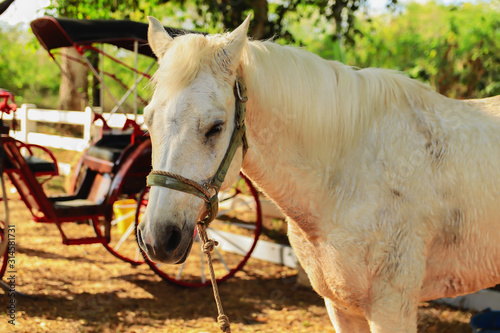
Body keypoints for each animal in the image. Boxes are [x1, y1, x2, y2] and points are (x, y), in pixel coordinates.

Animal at [137, 15, 500, 332]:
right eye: (148, 119)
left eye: (215, 127)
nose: (158, 238)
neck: (348, 176)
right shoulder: (341, 307)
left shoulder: (391, 310)